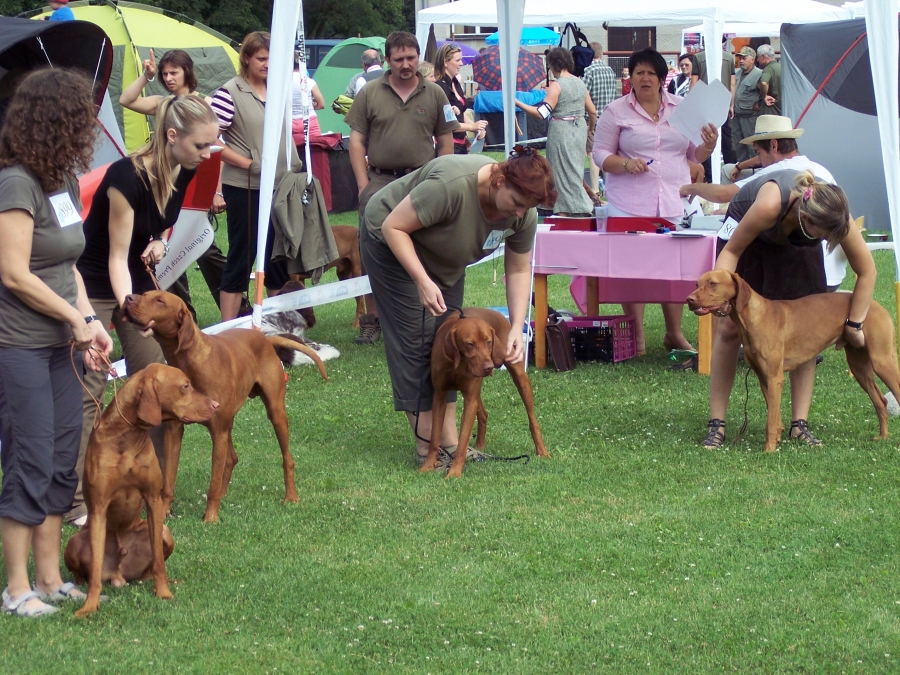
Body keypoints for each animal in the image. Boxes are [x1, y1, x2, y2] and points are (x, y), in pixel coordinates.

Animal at [65, 364, 219, 616]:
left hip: (165, 533)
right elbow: (95, 571)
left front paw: (164, 593)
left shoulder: (153, 499)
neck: (127, 438)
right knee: (84, 573)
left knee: (149, 568)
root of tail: (119, 574)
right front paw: (89, 606)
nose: (217, 405)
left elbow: (158, 561)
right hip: (74, 542)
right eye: (185, 386)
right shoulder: (99, 507)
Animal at [122, 290, 328, 523]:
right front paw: (164, 511)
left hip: (274, 413)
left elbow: (212, 482)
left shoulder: (218, 431)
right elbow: (168, 480)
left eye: (160, 301)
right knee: (231, 459)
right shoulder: (174, 431)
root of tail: (265, 339)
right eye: (144, 294)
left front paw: (210, 518)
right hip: (229, 421)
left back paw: (291, 497)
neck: (189, 361)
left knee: (286, 459)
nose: (128, 298)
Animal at [419, 308, 550, 478]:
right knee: (483, 413)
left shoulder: (469, 399)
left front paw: (454, 473)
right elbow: (434, 437)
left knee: (532, 419)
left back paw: (542, 451)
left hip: (519, 376)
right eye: (469, 344)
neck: (460, 363)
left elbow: (462, 442)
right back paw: (480, 445)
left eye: (488, 342)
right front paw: (428, 465)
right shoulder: (440, 395)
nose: (489, 367)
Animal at [686, 270, 900, 452]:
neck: (754, 317)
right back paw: (883, 437)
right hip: (859, 367)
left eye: (713, 283)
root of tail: (876, 305)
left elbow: (770, 420)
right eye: (697, 284)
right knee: (880, 401)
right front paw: (777, 439)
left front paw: (769, 450)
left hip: (882, 361)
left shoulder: (774, 377)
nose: (689, 299)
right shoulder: (764, 377)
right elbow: (775, 414)